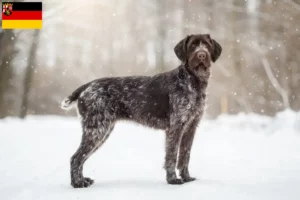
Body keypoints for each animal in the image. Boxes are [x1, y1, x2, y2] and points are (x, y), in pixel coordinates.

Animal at [61, 33, 221, 188]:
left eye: (207, 45)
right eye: (193, 45)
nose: (202, 55)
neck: (193, 81)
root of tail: (87, 86)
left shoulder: (191, 127)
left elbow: (185, 156)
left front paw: (186, 178)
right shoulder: (175, 127)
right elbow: (172, 156)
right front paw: (172, 180)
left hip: (102, 130)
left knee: (80, 158)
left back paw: (82, 180)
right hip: (96, 130)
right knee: (76, 158)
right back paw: (77, 183)